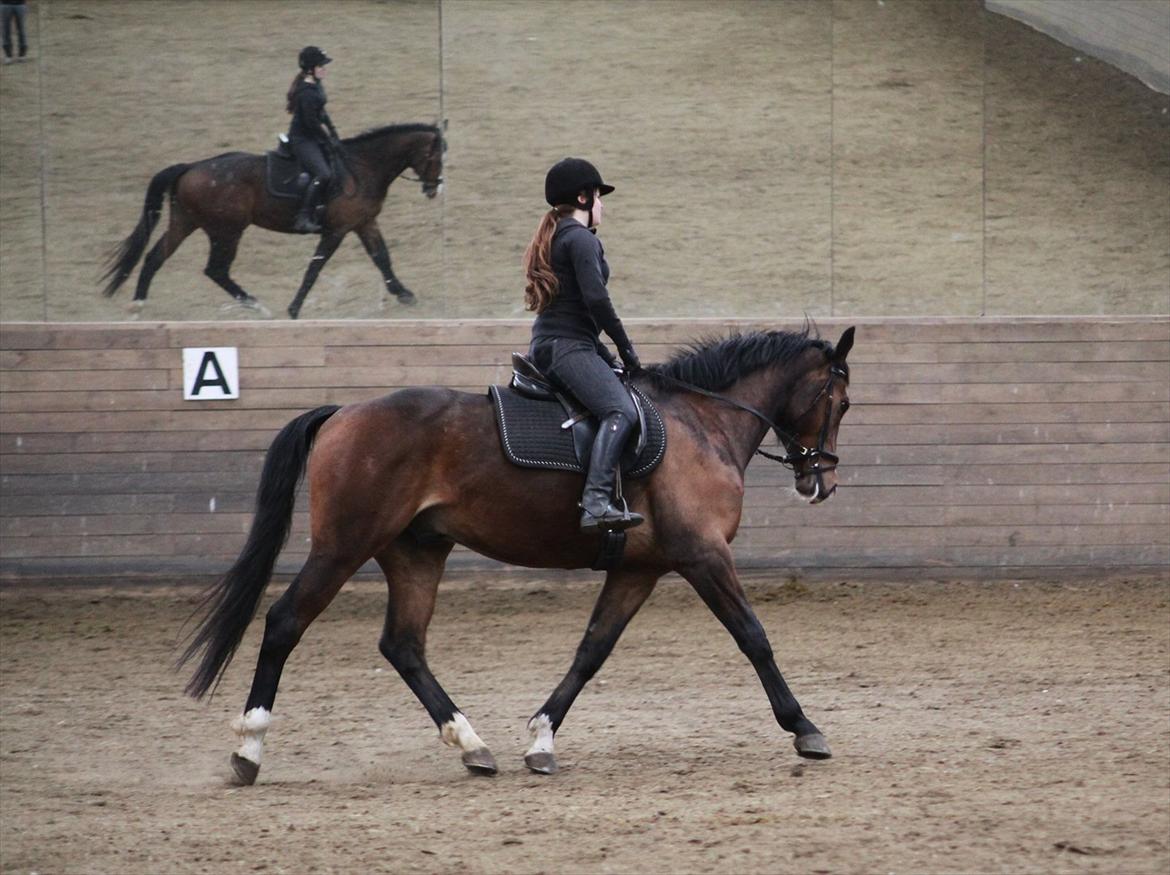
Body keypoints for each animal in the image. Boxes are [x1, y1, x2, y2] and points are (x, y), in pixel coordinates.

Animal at [95, 121, 439, 315]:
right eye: (435, 155)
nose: (434, 189)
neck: (361, 167)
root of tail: (192, 166)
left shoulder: (364, 223)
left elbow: (382, 258)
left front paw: (405, 295)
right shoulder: (337, 230)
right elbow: (315, 268)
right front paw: (295, 308)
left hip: (186, 222)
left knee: (155, 256)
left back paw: (139, 303)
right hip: (227, 231)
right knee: (215, 269)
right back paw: (256, 305)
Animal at [184, 327, 861, 786]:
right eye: (842, 402)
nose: (821, 482)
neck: (702, 422)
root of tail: (342, 413)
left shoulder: (639, 568)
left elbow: (592, 651)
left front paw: (540, 739)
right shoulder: (702, 556)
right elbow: (754, 637)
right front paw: (805, 729)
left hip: (416, 552)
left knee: (403, 645)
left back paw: (471, 745)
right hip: (343, 546)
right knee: (285, 623)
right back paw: (248, 750)